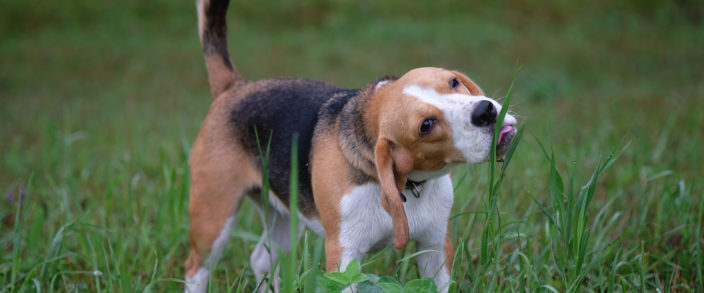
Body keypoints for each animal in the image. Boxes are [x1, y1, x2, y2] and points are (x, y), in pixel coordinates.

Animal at [186, 0, 516, 292]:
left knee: (261, 261)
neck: (408, 185)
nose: (485, 111)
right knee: (196, 269)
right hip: (213, 219)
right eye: (426, 126)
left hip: (285, 221)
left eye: (453, 82)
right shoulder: (344, 258)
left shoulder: (435, 246)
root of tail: (235, 88)